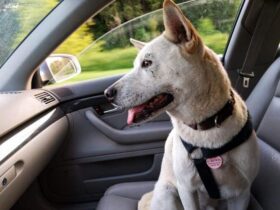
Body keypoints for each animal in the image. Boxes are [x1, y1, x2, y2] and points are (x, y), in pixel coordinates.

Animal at [104, 0, 260, 209]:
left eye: (147, 63)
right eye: (136, 64)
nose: (107, 94)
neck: (205, 129)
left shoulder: (242, 193)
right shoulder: (186, 189)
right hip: (168, 194)